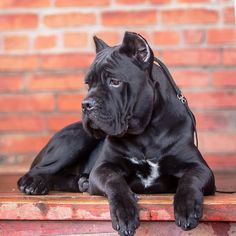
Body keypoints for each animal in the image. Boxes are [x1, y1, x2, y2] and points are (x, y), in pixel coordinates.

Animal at [17, 31, 215, 236]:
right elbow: (115, 182)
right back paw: (35, 184)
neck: (146, 132)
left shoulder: (200, 168)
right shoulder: (103, 168)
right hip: (77, 138)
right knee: (37, 171)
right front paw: (124, 213)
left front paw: (187, 207)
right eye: (88, 84)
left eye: (115, 82)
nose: (86, 104)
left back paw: (81, 182)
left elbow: (190, 180)